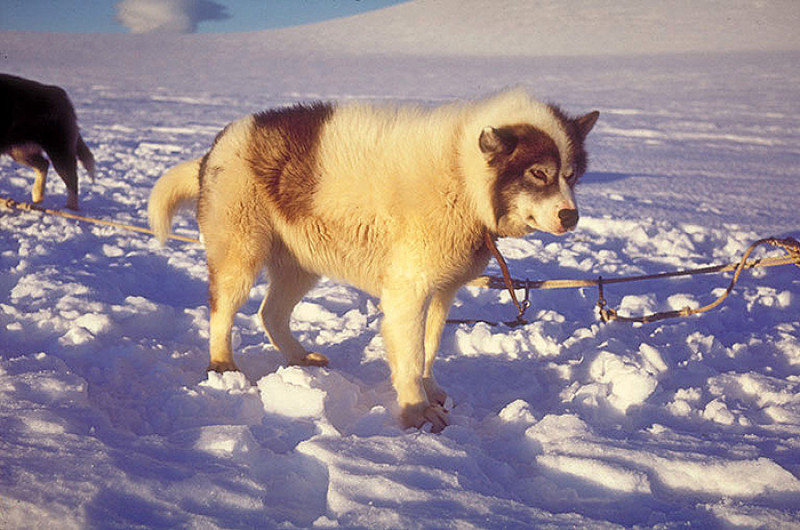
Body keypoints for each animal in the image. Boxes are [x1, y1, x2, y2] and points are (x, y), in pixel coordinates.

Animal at [1, 73, 94, 208]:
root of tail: (60, 94)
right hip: (20, 151)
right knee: (43, 164)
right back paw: (36, 197)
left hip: (59, 150)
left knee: (72, 180)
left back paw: (70, 209)